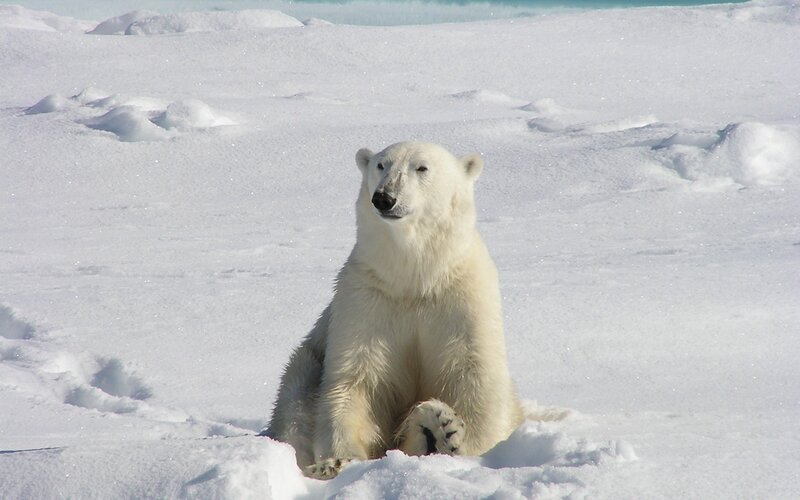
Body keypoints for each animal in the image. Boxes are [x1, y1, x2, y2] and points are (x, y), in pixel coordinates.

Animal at [263, 141, 524, 479]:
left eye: (422, 168)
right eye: (380, 165)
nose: (384, 198)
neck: (415, 278)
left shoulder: (462, 298)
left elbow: (474, 375)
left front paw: (465, 444)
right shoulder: (367, 300)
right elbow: (356, 382)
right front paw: (338, 461)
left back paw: (438, 427)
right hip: (305, 363)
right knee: (295, 402)